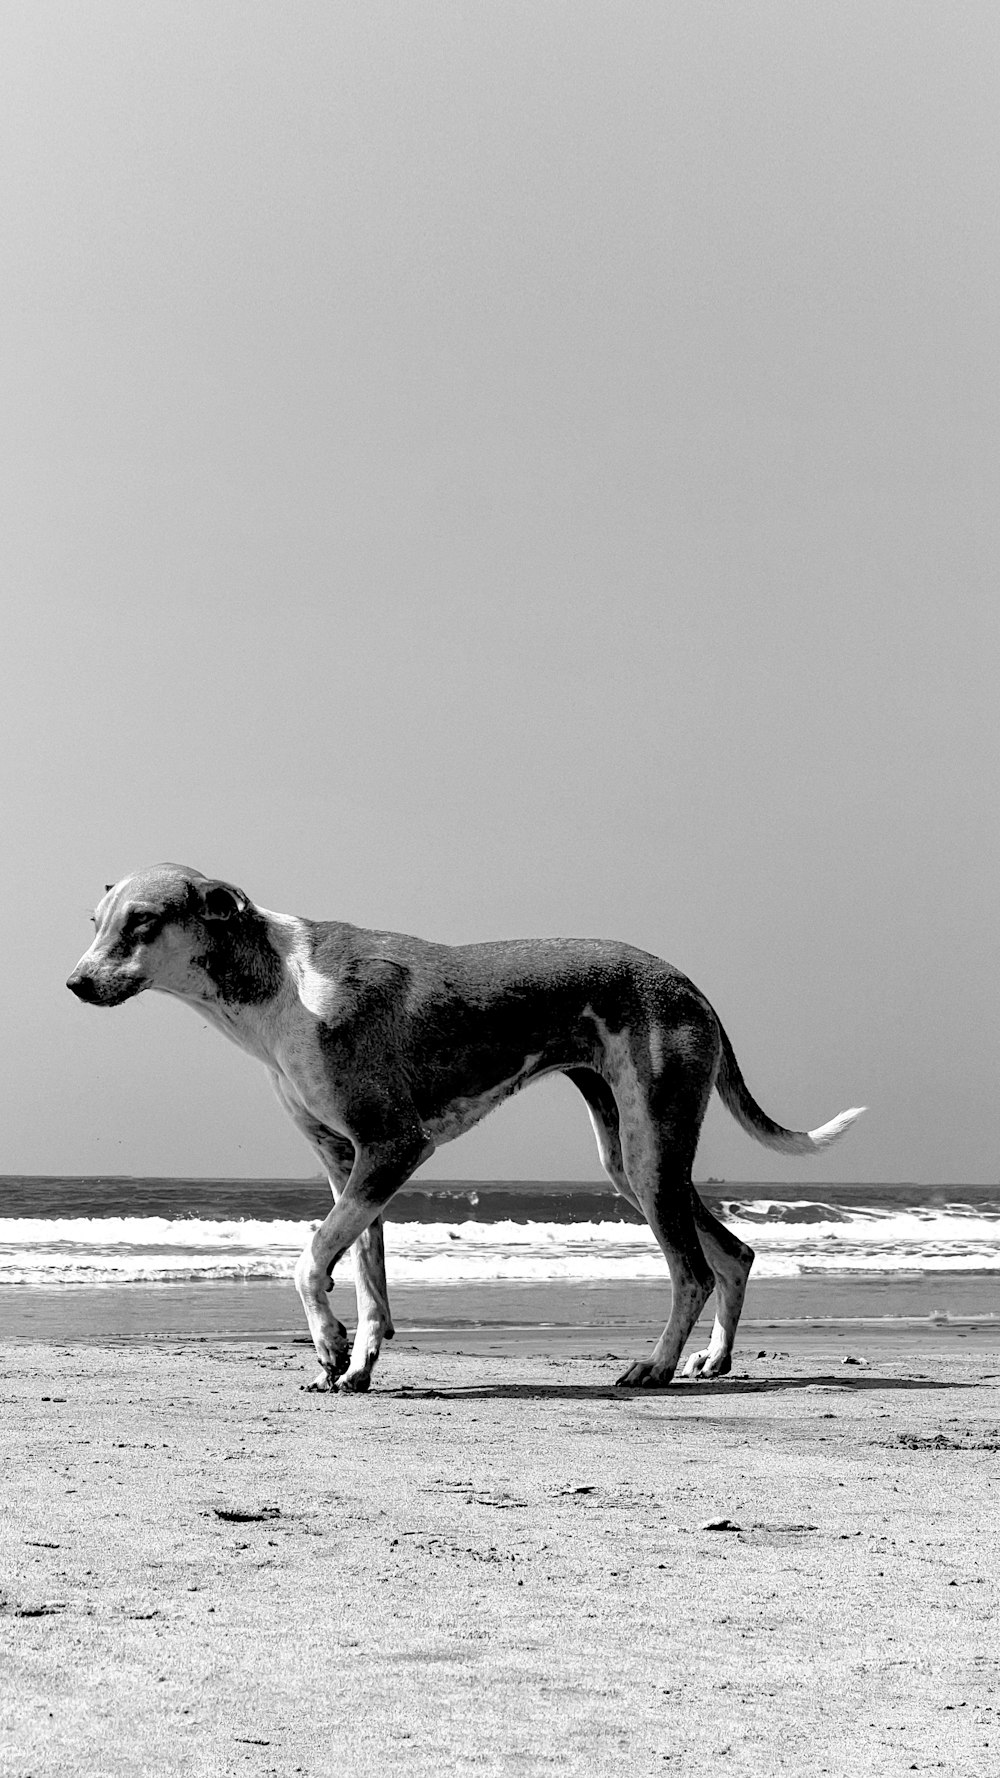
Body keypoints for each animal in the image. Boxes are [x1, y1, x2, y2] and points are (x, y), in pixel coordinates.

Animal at [68, 867, 864, 1393]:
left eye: (142, 921)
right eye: (98, 922)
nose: (74, 984)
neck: (284, 986)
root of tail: (692, 987)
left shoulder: (393, 1146)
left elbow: (309, 1261)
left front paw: (329, 1348)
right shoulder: (346, 1162)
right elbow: (368, 1281)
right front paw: (357, 1363)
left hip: (650, 1149)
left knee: (693, 1271)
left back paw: (657, 1365)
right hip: (632, 1157)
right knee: (736, 1253)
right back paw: (714, 1360)